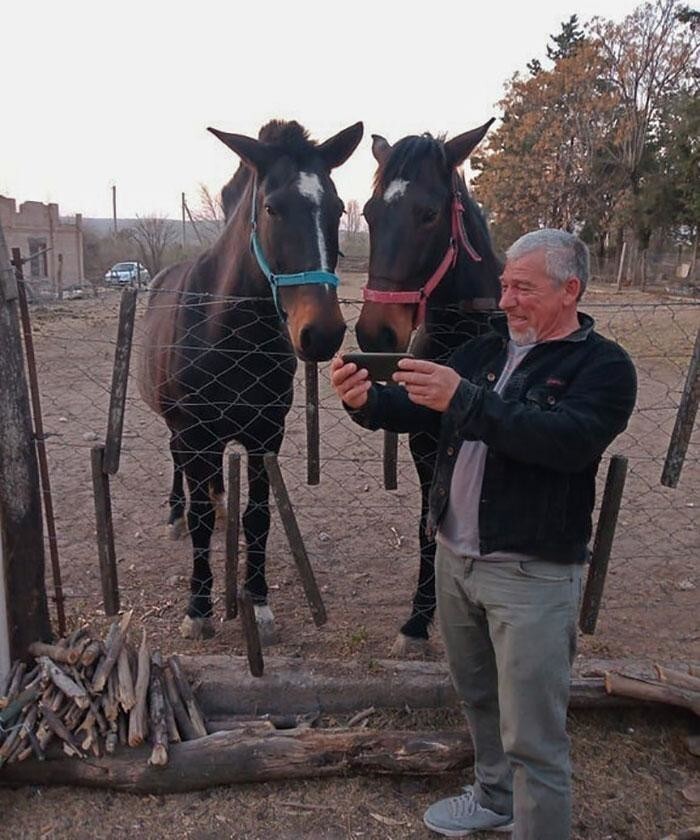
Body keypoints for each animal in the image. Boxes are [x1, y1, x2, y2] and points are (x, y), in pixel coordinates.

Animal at [356, 120, 504, 656]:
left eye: (430, 214)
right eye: (369, 213)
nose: (375, 333)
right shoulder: (424, 444)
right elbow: (427, 526)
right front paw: (417, 621)